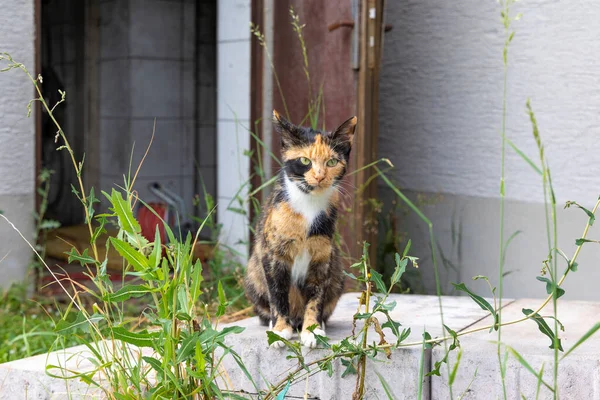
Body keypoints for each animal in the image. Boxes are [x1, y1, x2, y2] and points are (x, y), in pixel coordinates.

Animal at [244, 109, 356, 346]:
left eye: (332, 161)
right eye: (305, 160)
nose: (320, 176)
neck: (308, 206)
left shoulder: (322, 256)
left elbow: (316, 296)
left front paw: (312, 330)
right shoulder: (273, 254)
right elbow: (278, 293)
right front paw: (279, 331)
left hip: (337, 269)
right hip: (252, 272)